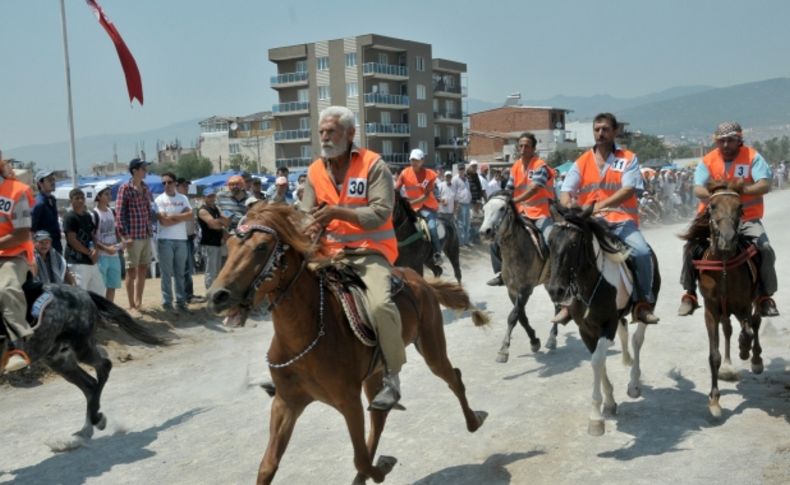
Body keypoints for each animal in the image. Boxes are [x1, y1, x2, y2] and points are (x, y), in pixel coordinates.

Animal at [1, 280, 166, 450]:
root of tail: (83, 292)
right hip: (58, 359)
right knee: (89, 384)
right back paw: (87, 428)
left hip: (81, 347)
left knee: (103, 366)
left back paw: (95, 421)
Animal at [204, 204, 488, 484]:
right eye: (229, 245)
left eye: (262, 247)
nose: (217, 296)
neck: (304, 338)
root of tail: (420, 281)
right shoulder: (286, 403)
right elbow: (267, 466)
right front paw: (378, 467)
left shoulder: (348, 402)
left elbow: (360, 457)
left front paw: (382, 466)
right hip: (374, 373)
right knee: (380, 415)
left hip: (431, 346)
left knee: (453, 377)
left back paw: (474, 420)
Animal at [480, 191, 568, 362]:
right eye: (484, 208)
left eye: (502, 208)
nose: (485, 232)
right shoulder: (512, 290)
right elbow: (521, 317)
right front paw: (534, 340)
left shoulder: (525, 290)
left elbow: (513, 316)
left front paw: (503, 350)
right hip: (548, 282)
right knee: (557, 304)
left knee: (559, 305)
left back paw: (552, 338)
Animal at [684, 179, 764, 416]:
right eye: (712, 206)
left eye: (740, 207)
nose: (727, 239)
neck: (725, 266)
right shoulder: (711, 308)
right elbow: (714, 355)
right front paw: (714, 401)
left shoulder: (743, 304)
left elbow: (748, 329)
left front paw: (745, 349)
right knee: (728, 329)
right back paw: (729, 366)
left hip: (754, 299)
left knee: (756, 322)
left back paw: (755, 358)